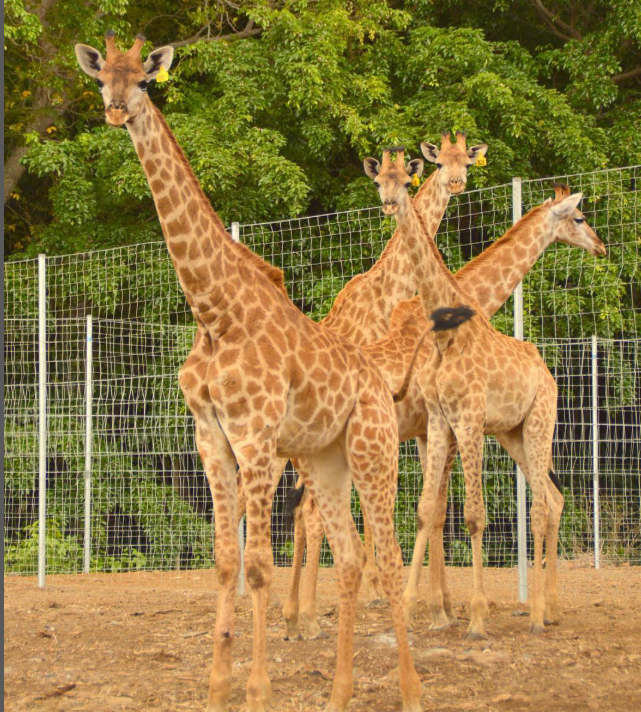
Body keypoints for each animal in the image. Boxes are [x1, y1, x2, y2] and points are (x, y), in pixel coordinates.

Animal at [75, 36, 422, 712]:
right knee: (350, 556)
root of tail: (376, 373)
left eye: (145, 81)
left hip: (374, 450)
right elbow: (223, 560)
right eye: (102, 77)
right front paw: (216, 686)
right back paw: (339, 693)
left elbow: (259, 563)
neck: (214, 312)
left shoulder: (256, 435)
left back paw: (413, 691)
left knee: (389, 558)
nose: (115, 109)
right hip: (325, 460)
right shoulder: (210, 435)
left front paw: (257, 688)